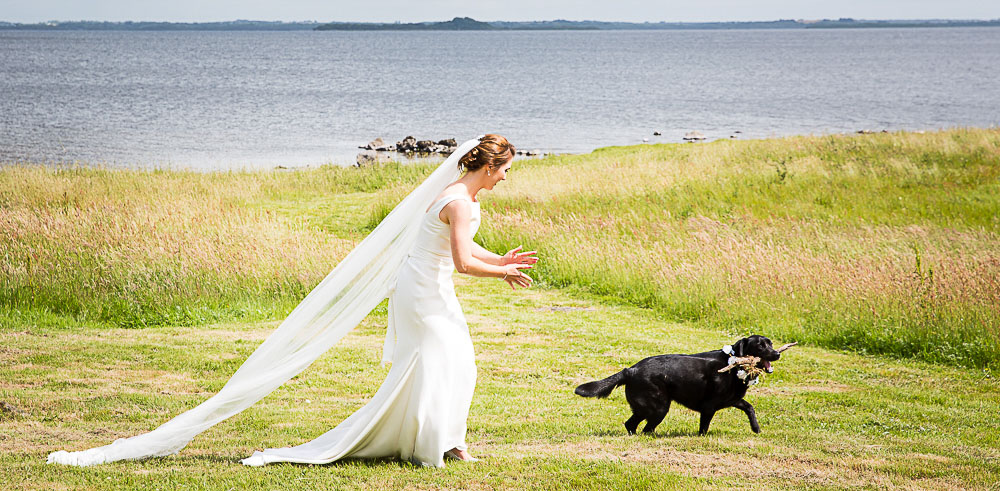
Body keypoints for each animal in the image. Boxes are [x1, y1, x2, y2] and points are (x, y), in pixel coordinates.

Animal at [580, 336, 780, 436]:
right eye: (760, 346)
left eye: (770, 343)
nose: (777, 354)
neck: (733, 364)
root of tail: (630, 370)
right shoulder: (709, 407)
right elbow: (703, 429)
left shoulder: (733, 399)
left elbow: (749, 407)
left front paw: (756, 428)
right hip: (658, 408)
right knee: (645, 428)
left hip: (646, 409)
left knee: (631, 425)